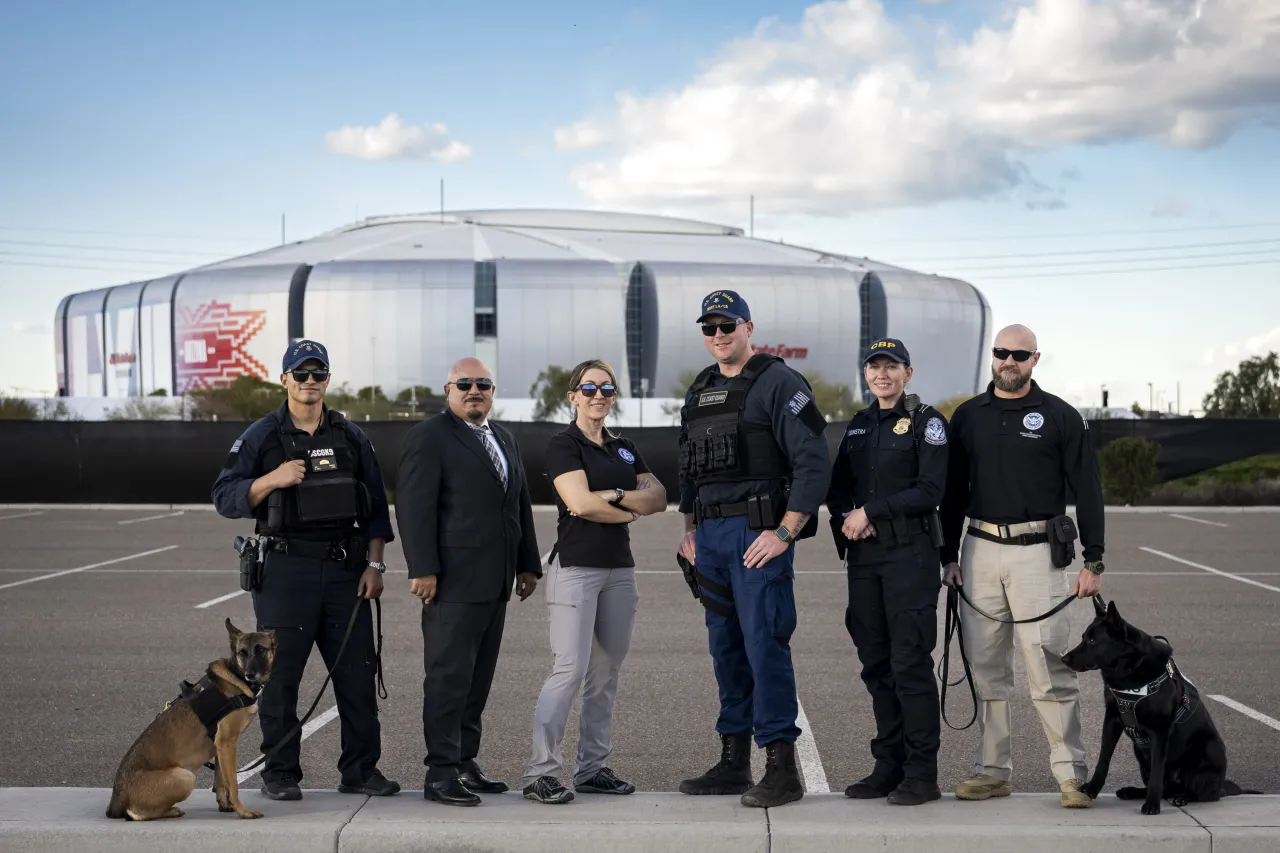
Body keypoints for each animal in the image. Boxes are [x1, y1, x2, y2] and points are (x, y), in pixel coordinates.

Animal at [105, 617, 277, 819]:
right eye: (242, 653)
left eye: (261, 650)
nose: (250, 674)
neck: (237, 677)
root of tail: (117, 800)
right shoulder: (227, 742)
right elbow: (233, 783)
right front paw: (242, 811)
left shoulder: (220, 746)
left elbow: (221, 779)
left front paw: (224, 805)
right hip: (185, 777)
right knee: (137, 814)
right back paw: (171, 811)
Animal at [1059, 594, 1259, 814]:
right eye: (1083, 637)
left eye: (1093, 640)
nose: (1063, 659)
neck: (1128, 671)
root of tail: (1221, 786)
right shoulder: (1111, 720)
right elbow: (1104, 759)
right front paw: (1092, 789)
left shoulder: (1159, 731)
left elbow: (1157, 771)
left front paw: (1152, 805)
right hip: (1139, 751)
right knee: (1166, 788)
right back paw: (1133, 791)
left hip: (1206, 749)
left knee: (1201, 794)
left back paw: (1181, 797)